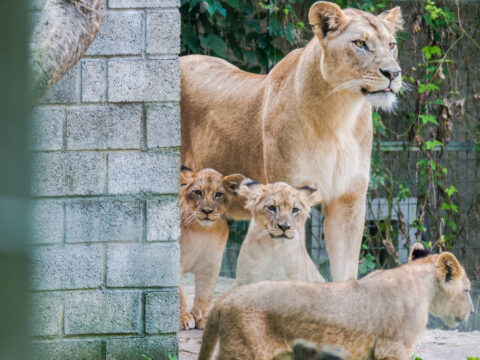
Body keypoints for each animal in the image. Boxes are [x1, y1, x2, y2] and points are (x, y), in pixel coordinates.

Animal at [180, 167, 246, 330]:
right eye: (198, 192)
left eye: (219, 194)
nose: (207, 211)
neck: (202, 231)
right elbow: (179, 293)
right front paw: (183, 318)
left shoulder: (210, 264)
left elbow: (205, 293)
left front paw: (202, 318)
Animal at [181, 1, 404, 282]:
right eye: (360, 44)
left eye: (392, 45)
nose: (393, 73)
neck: (340, 115)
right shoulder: (289, 195)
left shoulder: (348, 202)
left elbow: (346, 272)